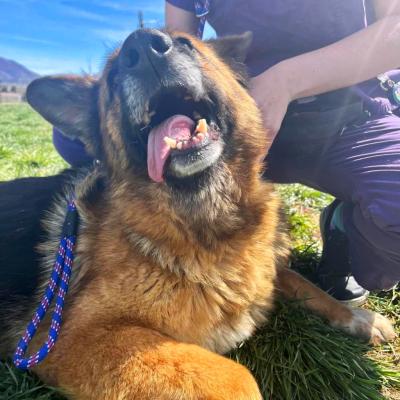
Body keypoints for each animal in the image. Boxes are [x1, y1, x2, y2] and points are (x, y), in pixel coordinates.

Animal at [0, 29, 396, 398]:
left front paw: (358, 318)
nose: (141, 46)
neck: (202, 221)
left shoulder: (265, 269)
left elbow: (302, 282)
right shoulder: (73, 337)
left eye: (186, 44)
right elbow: (237, 378)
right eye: (112, 76)